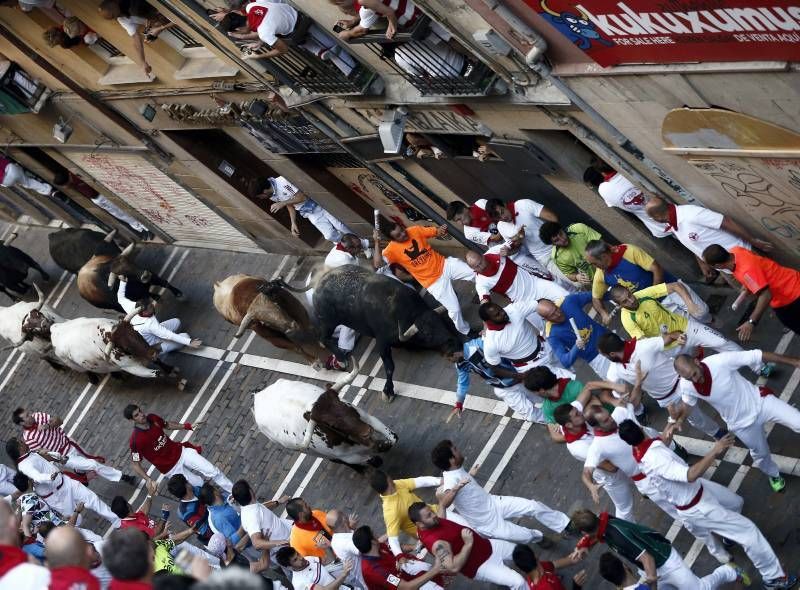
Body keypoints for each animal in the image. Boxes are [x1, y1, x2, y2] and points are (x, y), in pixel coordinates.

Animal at [253, 360, 396, 472]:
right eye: (332, 425)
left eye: (340, 403)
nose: (367, 431)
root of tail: (257, 396)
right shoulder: (350, 458)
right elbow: (374, 460)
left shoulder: (366, 418)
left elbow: (393, 438)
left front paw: (384, 443)